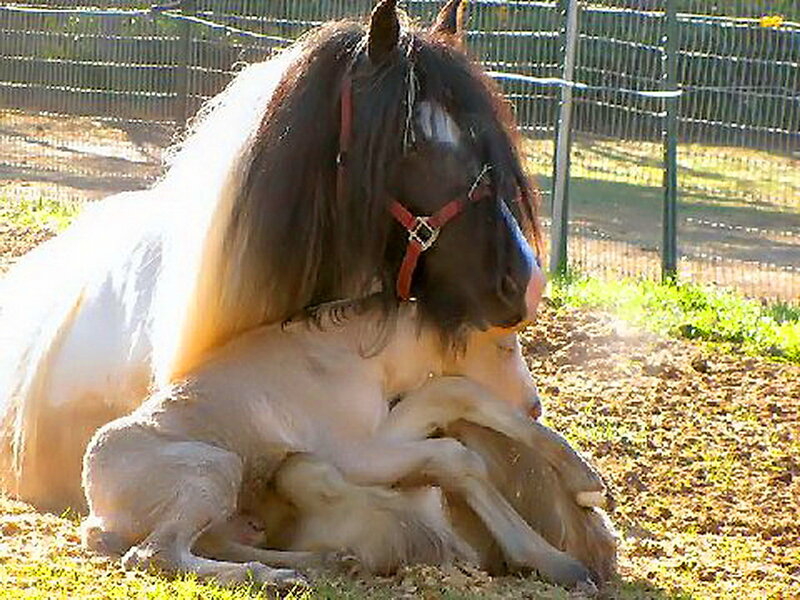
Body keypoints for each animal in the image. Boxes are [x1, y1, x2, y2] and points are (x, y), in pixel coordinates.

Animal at [81, 301, 610, 590]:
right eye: (502, 345)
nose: (535, 404)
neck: (358, 356)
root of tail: (99, 513)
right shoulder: (351, 455)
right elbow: (456, 451)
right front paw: (555, 562)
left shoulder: (379, 431)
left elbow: (453, 393)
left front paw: (585, 480)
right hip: (213, 469)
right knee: (155, 554)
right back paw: (274, 580)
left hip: (228, 505)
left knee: (216, 541)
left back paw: (325, 562)